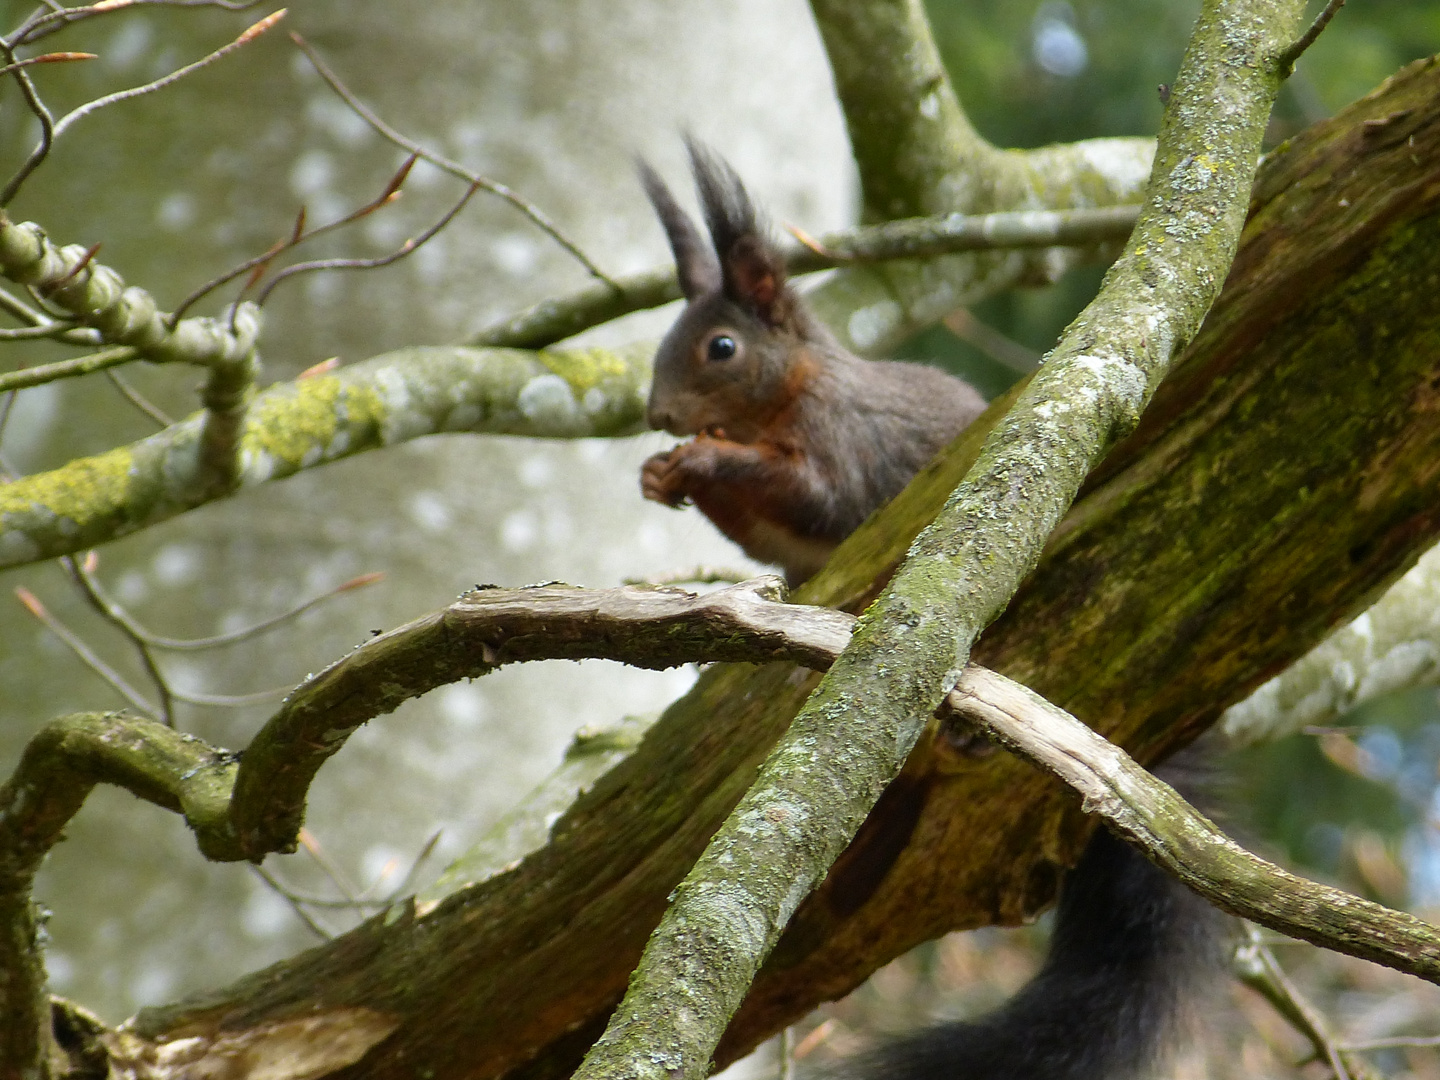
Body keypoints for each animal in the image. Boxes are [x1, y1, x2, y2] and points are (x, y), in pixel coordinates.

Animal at [633, 141, 1226, 1080]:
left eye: (720, 347)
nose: (658, 415)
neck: (789, 392)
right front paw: (662, 474)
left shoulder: (843, 449)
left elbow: (811, 496)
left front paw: (701, 458)